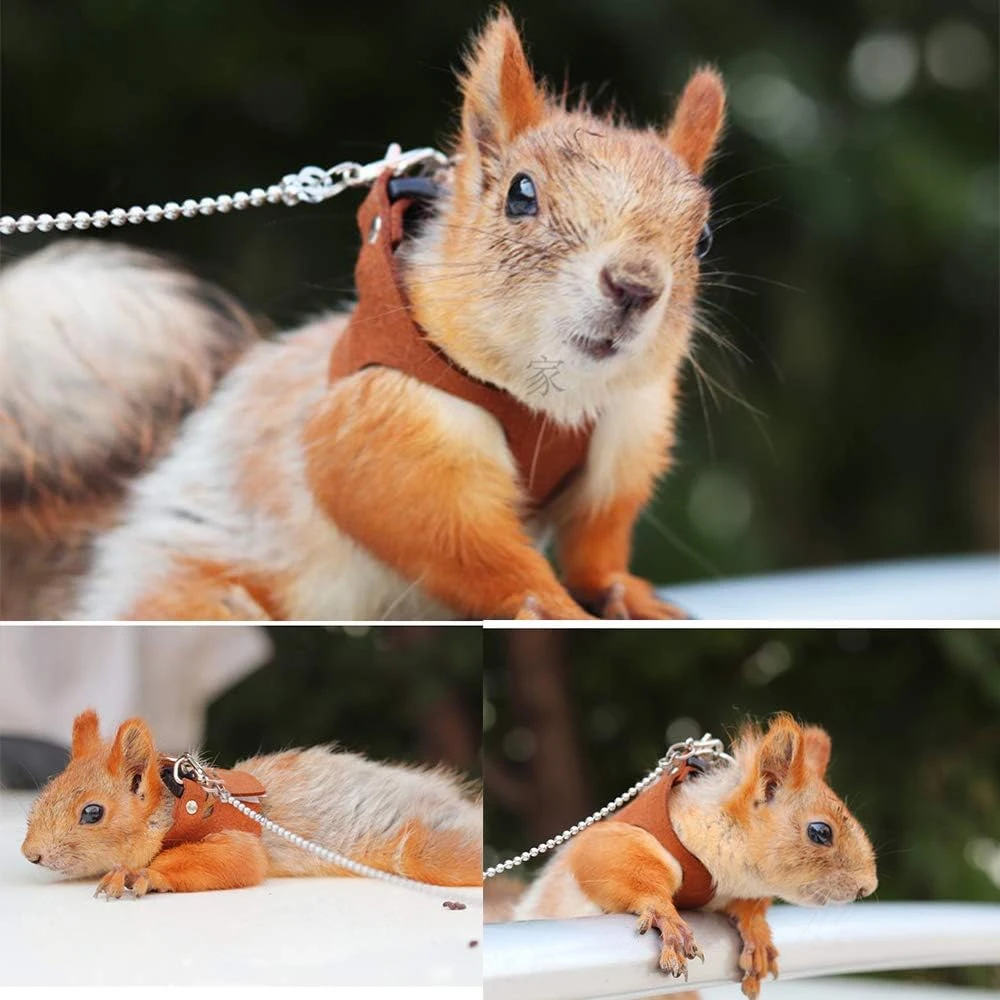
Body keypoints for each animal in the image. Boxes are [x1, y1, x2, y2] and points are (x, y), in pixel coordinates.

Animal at [1, 9, 727, 621]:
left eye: (703, 238)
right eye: (521, 195)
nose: (634, 286)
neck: (552, 400)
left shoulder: (630, 428)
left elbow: (598, 541)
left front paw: (631, 596)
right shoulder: (384, 426)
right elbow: (458, 541)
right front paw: (549, 606)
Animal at [20, 709, 482, 897]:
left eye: (92, 812)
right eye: (47, 789)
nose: (30, 854)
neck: (182, 803)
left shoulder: (236, 835)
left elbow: (238, 861)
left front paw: (142, 874)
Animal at [506, 715, 878, 999]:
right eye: (820, 832)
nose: (868, 887)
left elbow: (748, 906)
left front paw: (756, 934)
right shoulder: (617, 840)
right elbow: (615, 865)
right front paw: (665, 917)